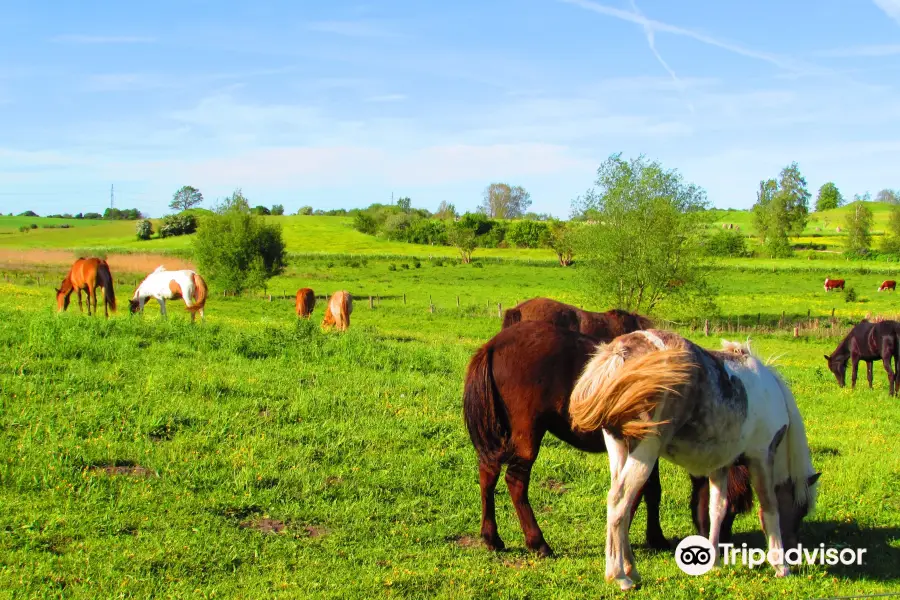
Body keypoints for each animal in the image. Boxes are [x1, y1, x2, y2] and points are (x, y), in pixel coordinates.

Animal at [572, 332, 820, 592]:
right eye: (801, 511)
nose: (795, 555)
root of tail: (619, 354)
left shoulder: (721, 466)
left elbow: (717, 508)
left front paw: (715, 562)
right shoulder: (761, 457)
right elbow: (769, 509)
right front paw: (780, 566)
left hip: (619, 448)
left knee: (624, 506)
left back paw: (631, 570)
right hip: (645, 450)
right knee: (619, 501)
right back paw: (620, 576)